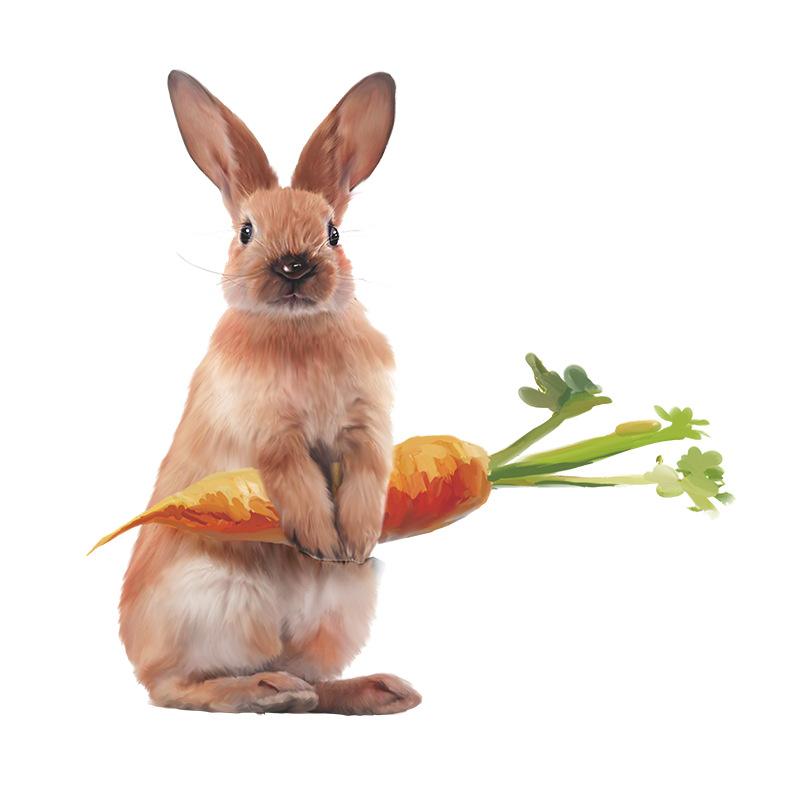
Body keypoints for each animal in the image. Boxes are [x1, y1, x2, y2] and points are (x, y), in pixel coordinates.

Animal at [118, 70, 421, 715]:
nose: (293, 267)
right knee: (178, 687)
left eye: (333, 232)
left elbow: (368, 471)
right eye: (246, 231)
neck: (296, 329)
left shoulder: (367, 425)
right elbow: (296, 478)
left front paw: (354, 540)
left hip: (339, 614)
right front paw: (321, 539)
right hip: (219, 601)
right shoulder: (269, 433)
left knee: (312, 680)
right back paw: (265, 690)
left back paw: (378, 691)